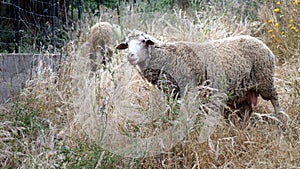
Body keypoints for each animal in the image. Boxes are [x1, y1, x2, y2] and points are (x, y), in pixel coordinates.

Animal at [116, 30, 282, 120]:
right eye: (127, 44)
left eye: (143, 41)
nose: (130, 56)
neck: (165, 56)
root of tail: (262, 44)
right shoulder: (174, 93)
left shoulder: (189, 89)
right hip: (246, 88)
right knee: (247, 108)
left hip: (265, 78)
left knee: (274, 97)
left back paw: (281, 119)